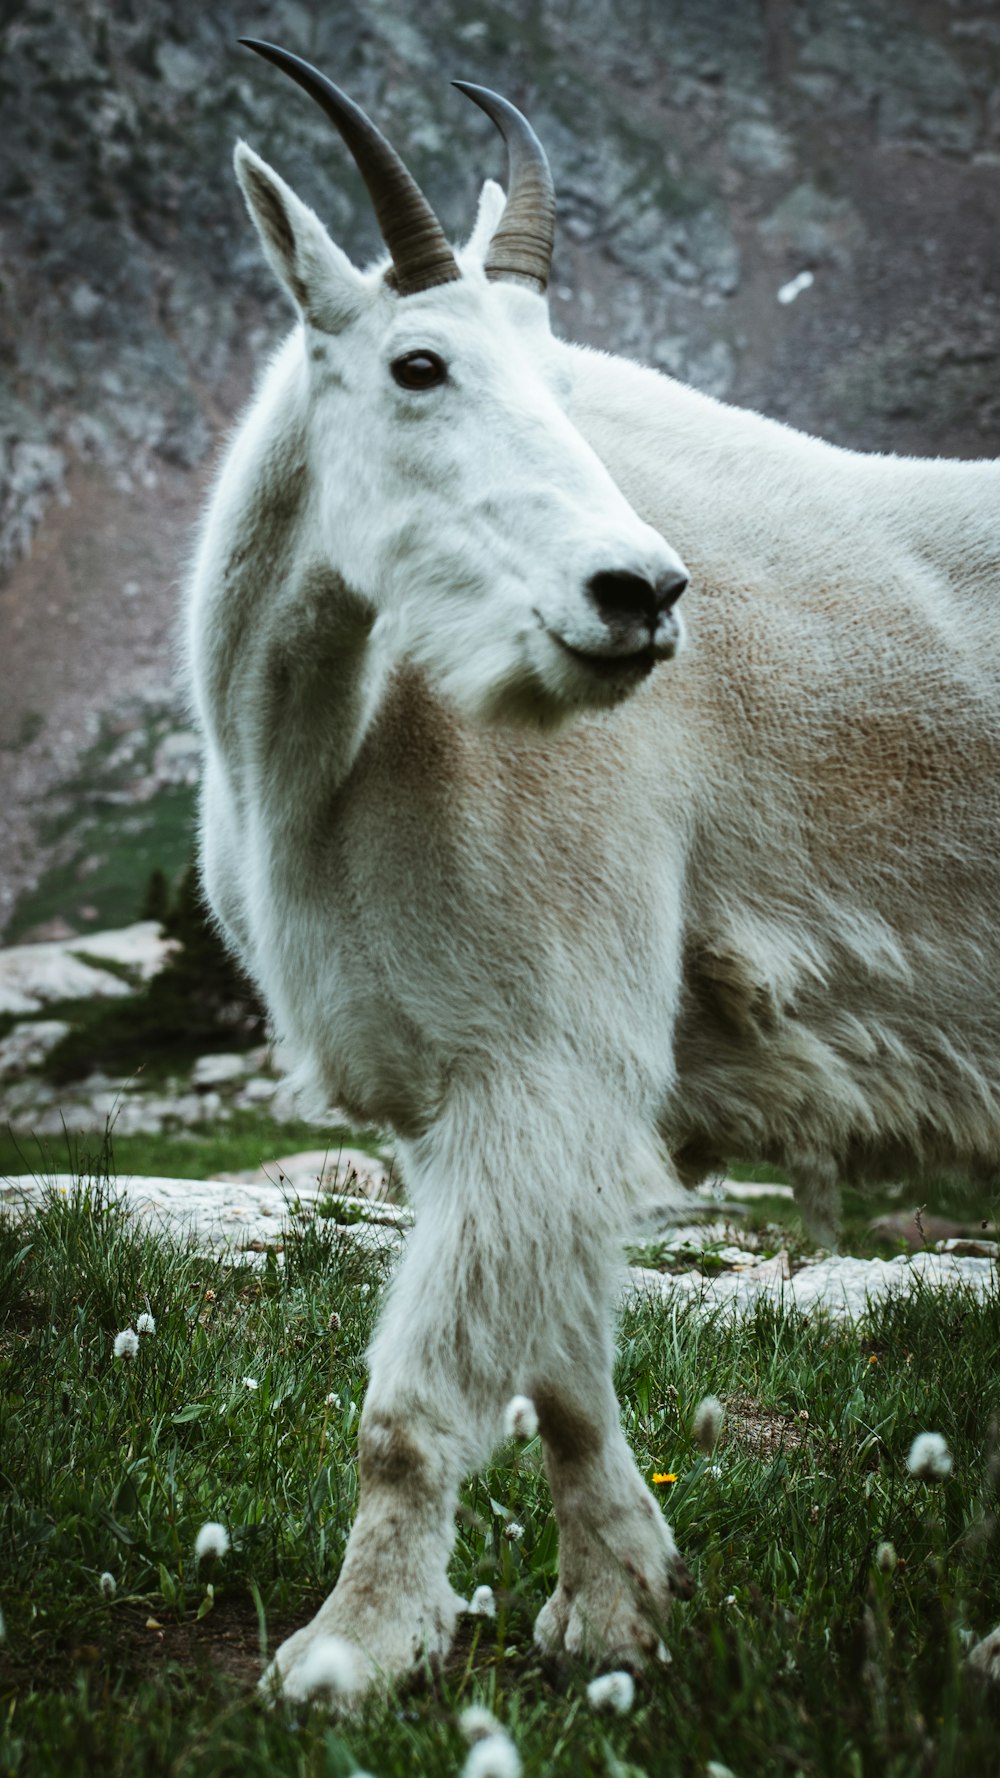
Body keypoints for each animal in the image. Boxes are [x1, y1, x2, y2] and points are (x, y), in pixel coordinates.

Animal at [185, 41, 996, 1699]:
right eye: (418, 366)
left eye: (567, 387)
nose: (638, 594)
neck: (323, 740)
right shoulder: (468, 1087)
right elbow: (561, 1374)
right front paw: (611, 1609)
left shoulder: (544, 1051)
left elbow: (411, 1407)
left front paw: (346, 1651)